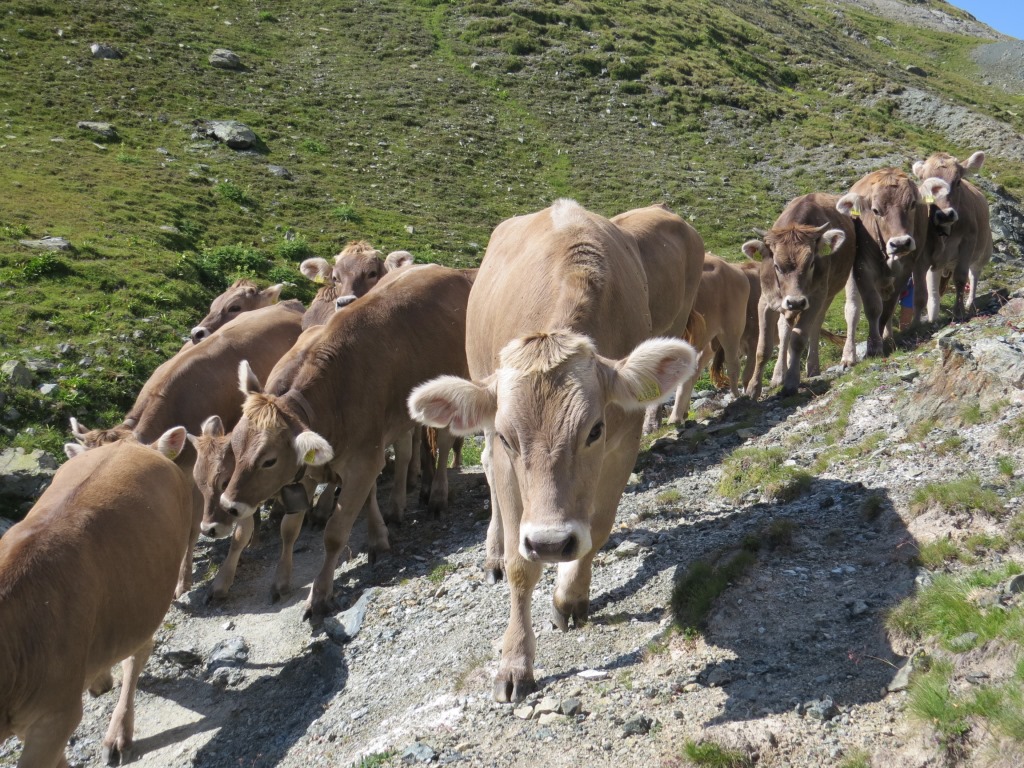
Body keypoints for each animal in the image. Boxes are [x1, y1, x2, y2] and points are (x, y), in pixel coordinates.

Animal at [218, 264, 474, 622]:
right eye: (235, 447)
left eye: (269, 460)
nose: (230, 505)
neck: (330, 396)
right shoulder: (310, 469)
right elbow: (289, 528)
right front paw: (281, 580)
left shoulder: (363, 461)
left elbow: (335, 533)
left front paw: (319, 596)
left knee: (446, 440)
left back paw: (436, 495)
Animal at [408, 199, 697, 702]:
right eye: (510, 436)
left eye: (595, 429)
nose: (550, 542)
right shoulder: (504, 455)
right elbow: (521, 566)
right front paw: (515, 662)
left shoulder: (623, 444)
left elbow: (597, 528)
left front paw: (570, 596)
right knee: (488, 477)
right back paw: (492, 552)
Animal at [742, 193, 857, 397]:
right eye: (776, 266)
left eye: (811, 263)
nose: (795, 302)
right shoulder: (765, 302)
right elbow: (763, 348)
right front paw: (753, 388)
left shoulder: (816, 297)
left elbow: (798, 338)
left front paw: (791, 382)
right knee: (784, 328)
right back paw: (779, 373)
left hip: (831, 291)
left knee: (820, 323)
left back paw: (817, 366)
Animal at [836, 168, 930, 357]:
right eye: (875, 210)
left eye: (912, 204)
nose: (900, 243)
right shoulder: (862, 268)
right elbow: (872, 307)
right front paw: (873, 346)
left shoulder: (905, 269)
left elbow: (888, 308)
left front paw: (879, 339)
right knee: (852, 310)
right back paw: (849, 355)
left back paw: (889, 337)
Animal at [911, 151, 992, 321]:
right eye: (924, 182)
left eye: (958, 181)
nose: (944, 215)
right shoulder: (923, 252)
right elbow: (921, 291)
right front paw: (917, 323)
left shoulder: (968, 242)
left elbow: (960, 278)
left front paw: (959, 311)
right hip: (940, 263)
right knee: (934, 288)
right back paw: (933, 316)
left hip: (984, 253)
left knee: (974, 275)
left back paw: (970, 305)